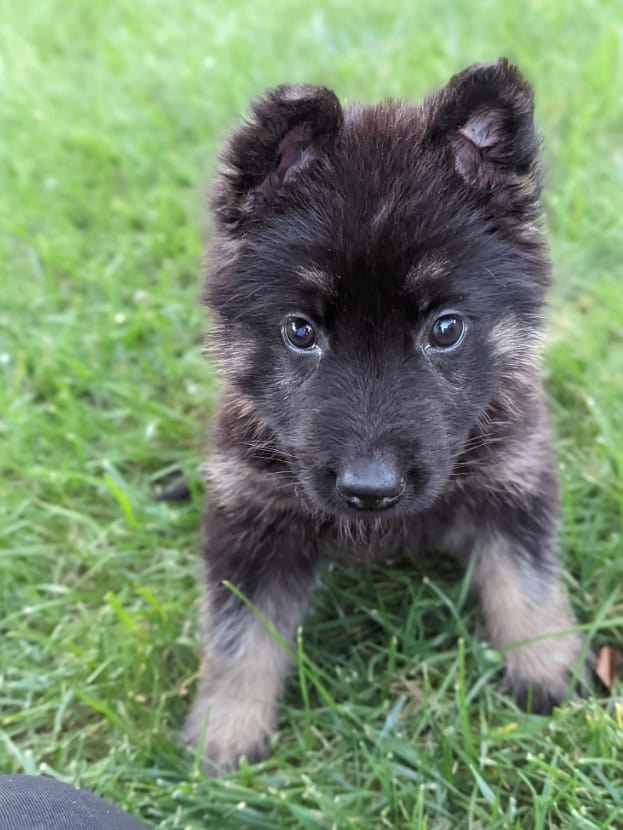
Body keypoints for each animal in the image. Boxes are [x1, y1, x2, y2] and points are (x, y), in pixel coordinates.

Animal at [182, 58, 584, 772]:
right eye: (300, 330)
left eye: (445, 328)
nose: (371, 491)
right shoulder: (249, 516)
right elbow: (238, 636)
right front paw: (225, 733)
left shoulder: (514, 477)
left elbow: (526, 582)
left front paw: (545, 667)